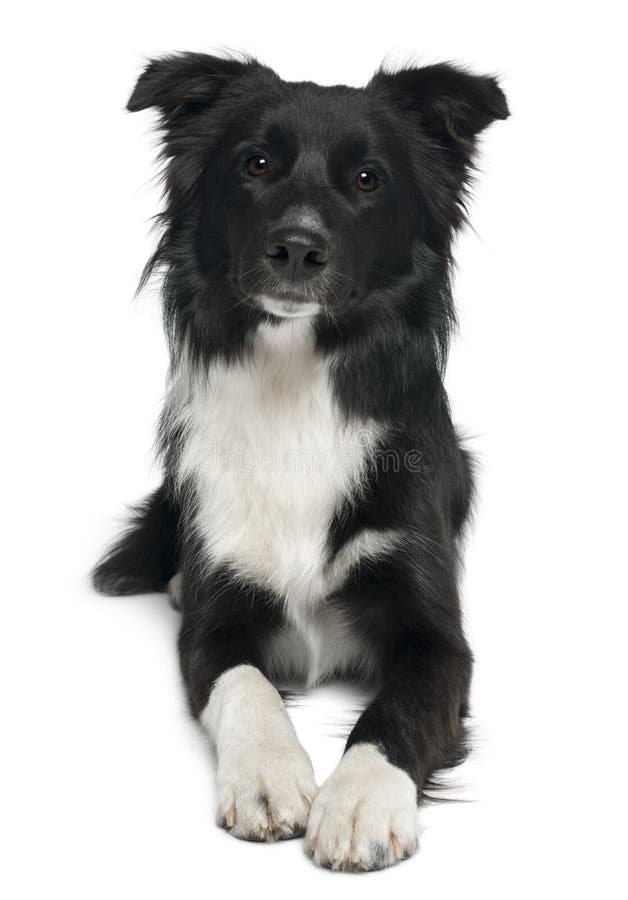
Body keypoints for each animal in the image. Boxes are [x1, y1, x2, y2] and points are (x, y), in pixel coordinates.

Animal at [92, 54, 506, 872]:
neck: (299, 378)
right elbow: (243, 682)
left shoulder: (437, 637)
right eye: (255, 163)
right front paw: (268, 776)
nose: (296, 247)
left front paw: (360, 800)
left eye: (369, 179)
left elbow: (396, 709)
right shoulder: (217, 618)